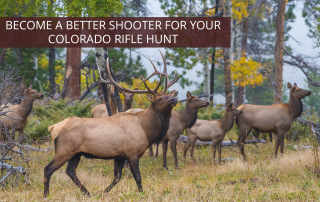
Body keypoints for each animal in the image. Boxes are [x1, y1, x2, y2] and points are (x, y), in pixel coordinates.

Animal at [42, 50, 179, 197]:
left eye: (167, 94)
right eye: (159, 98)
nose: (174, 99)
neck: (146, 130)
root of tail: (53, 128)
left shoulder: (120, 155)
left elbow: (117, 177)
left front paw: (103, 193)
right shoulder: (132, 153)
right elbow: (138, 177)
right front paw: (142, 194)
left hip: (76, 153)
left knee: (70, 171)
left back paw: (88, 193)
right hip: (64, 149)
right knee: (48, 169)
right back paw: (46, 195)